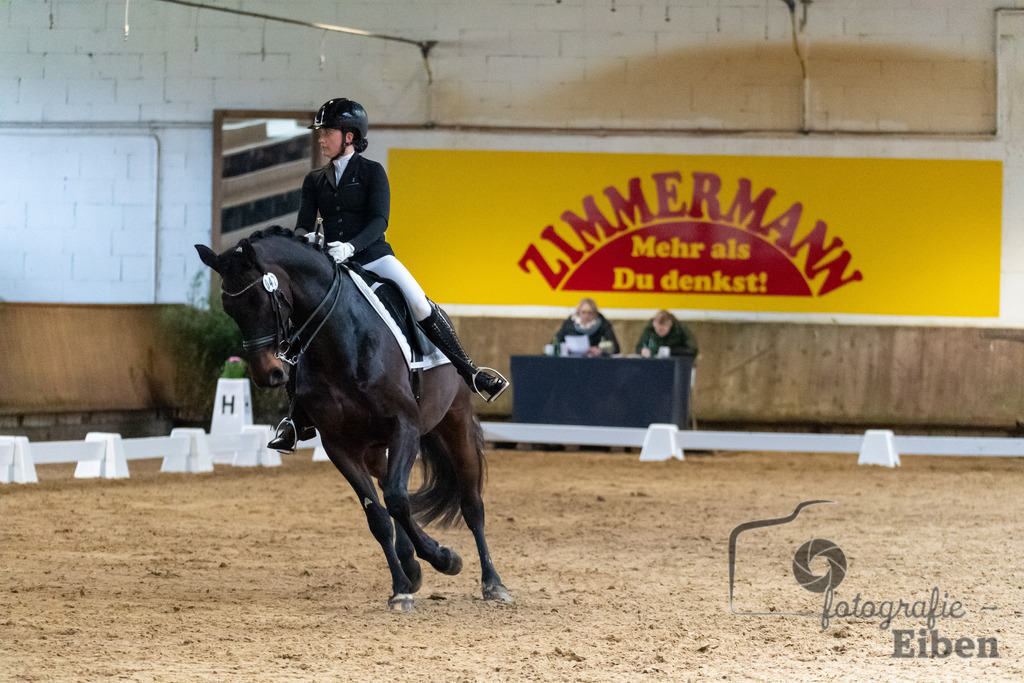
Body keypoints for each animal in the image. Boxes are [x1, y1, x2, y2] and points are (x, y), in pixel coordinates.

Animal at [195, 227, 511, 612]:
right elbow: (378, 515)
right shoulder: (339, 445)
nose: (268, 374)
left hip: (455, 422)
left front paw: (443, 559)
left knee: (470, 503)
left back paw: (492, 583)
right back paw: (411, 564)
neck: (340, 342)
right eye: (230, 309)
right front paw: (402, 586)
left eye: (261, 300)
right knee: (390, 489)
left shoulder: (405, 426)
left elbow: (398, 500)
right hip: (374, 448)